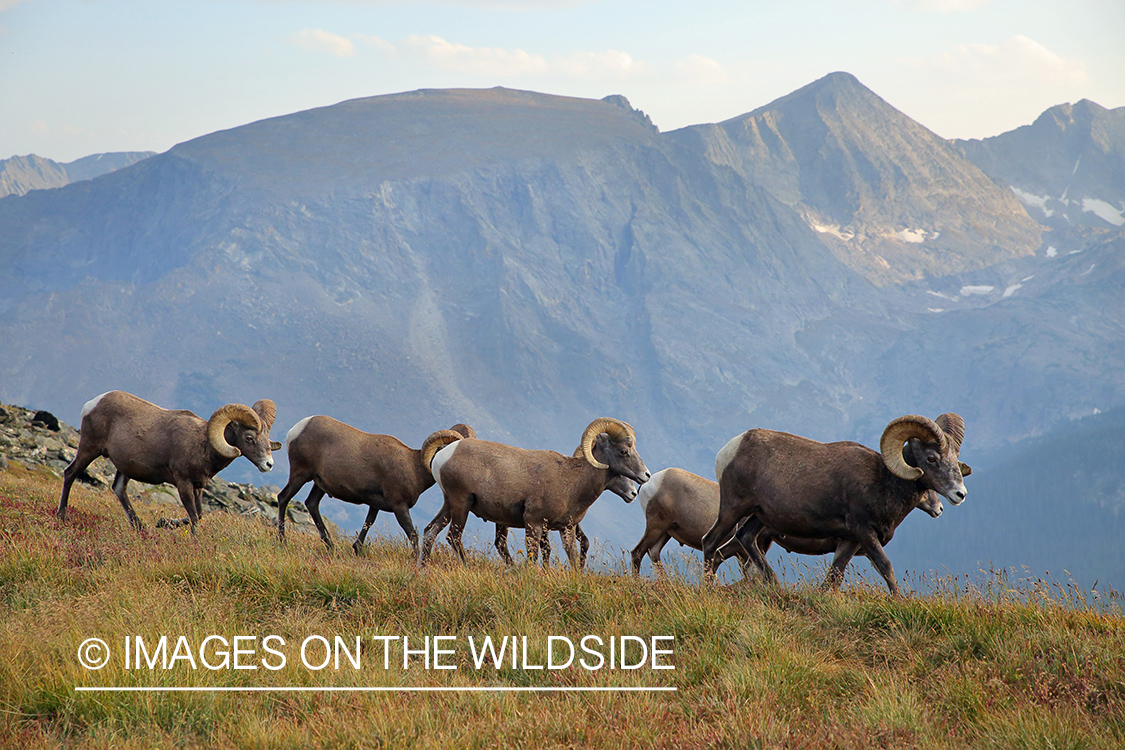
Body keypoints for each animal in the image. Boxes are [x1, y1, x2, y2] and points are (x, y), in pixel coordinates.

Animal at [56, 391, 281, 530]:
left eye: (266, 437)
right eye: (249, 438)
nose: (268, 464)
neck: (202, 444)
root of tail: (92, 404)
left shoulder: (198, 486)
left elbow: (198, 515)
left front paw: (163, 522)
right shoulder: (183, 483)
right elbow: (194, 517)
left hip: (124, 468)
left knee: (119, 489)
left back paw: (139, 527)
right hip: (89, 449)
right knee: (70, 474)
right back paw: (61, 517)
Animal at [274, 420, 472, 555]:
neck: (412, 466)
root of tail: (296, 429)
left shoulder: (375, 504)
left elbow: (368, 522)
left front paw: (356, 549)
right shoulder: (399, 506)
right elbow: (413, 534)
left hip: (319, 484)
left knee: (312, 504)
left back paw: (330, 546)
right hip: (300, 474)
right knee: (283, 498)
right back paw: (283, 541)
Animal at [420, 416, 652, 568]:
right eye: (624, 451)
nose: (646, 476)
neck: (572, 482)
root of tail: (444, 455)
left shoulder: (566, 528)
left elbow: (572, 558)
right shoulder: (534, 523)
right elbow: (534, 558)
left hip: (449, 504)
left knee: (430, 531)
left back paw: (422, 568)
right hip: (461, 504)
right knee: (453, 537)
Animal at [634, 470, 940, 575]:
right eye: (925, 490)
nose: (938, 509)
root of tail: (651, 481)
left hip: (665, 534)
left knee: (653, 553)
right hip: (657, 528)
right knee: (639, 553)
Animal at [702, 413, 967, 593]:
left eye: (955, 458)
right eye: (931, 458)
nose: (959, 494)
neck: (882, 482)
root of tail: (729, 449)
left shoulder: (850, 540)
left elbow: (835, 575)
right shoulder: (864, 532)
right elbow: (886, 568)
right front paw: (898, 601)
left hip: (759, 517)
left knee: (745, 539)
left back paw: (775, 585)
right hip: (733, 509)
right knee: (710, 542)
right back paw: (709, 589)